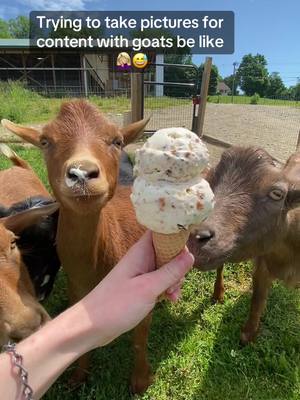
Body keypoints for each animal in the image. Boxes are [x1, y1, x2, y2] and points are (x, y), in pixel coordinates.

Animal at [189, 147, 300, 344]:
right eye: (210, 181)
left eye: (277, 194)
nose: (197, 237)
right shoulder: (262, 265)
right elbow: (257, 300)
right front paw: (248, 334)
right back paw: (218, 294)